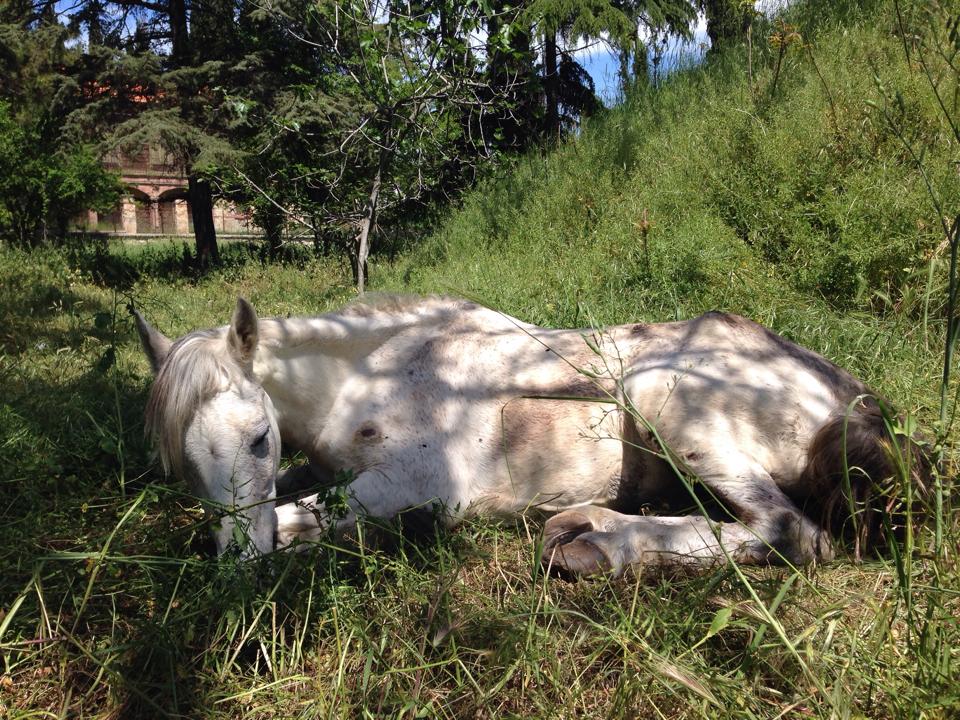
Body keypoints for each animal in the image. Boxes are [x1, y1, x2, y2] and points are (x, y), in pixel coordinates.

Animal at [133, 296, 926, 575]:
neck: (372, 373)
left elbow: (311, 517)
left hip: (663, 397)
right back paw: (586, 529)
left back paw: (601, 549)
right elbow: (288, 505)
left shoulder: (420, 487)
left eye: (259, 438)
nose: (240, 571)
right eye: (184, 468)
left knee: (792, 533)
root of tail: (849, 397)